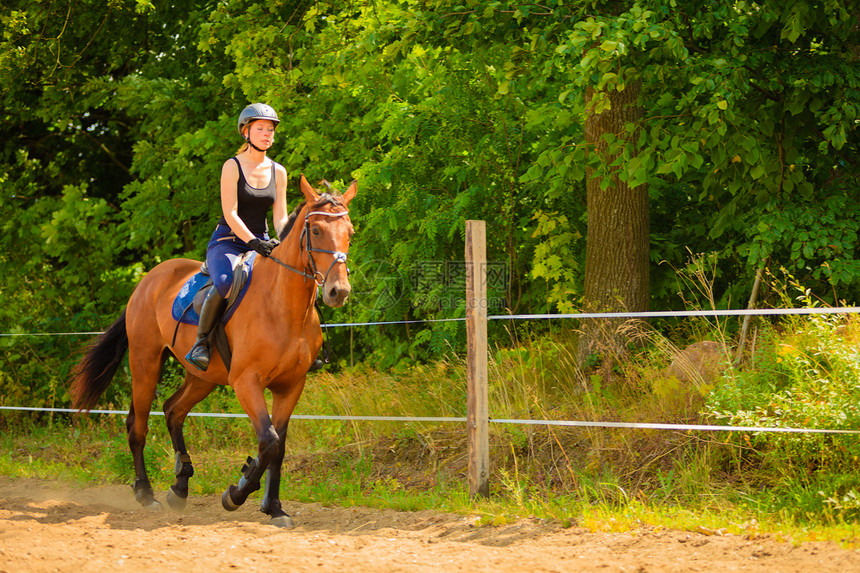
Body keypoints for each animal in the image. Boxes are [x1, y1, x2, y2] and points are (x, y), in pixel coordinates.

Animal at [70, 174, 356, 528]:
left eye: (350, 232)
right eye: (315, 230)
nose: (338, 291)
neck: (283, 306)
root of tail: (148, 279)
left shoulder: (291, 385)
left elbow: (279, 447)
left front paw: (275, 508)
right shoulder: (246, 382)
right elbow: (269, 441)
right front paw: (236, 493)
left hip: (202, 377)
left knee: (173, 411)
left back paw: (179, 486)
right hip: (145, 362)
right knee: (138, 426)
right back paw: (146, 494)